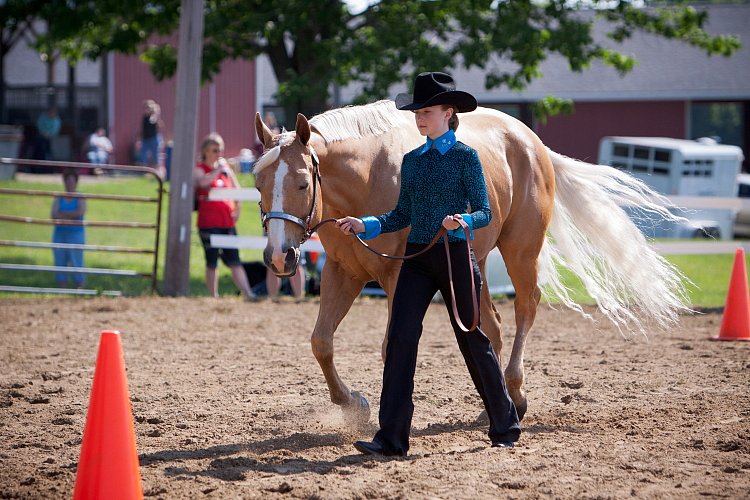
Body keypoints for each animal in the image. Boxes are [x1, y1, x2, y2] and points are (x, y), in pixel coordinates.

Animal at [256, 99, 692, 420]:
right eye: (258, 183)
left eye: (301, 183)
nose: (279, 257)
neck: (369, 176)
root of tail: (531, 141)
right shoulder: (343, 272)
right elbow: (321, 343)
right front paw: (353, 405)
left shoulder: (397, 276)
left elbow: (388, 345)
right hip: (471, 265)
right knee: (492, 328)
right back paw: (497, 404)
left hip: (521, 251)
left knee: (526, 307)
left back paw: (516, 393)